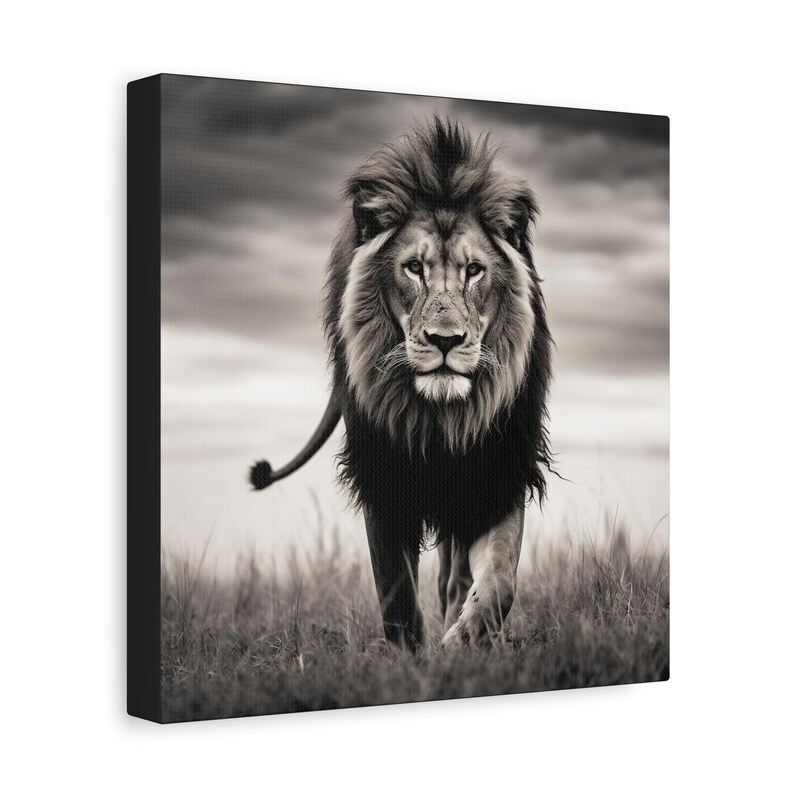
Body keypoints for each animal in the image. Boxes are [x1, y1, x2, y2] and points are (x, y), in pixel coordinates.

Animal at [251, 118, 552, 650]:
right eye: (414, 267)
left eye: (475, 271)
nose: (446, 340)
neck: (439, 418)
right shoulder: (384, 476)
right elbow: (397, 595)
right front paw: (412, 658)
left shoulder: (499, 468)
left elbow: (498, 582)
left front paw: (461, 642)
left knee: (457, 573)